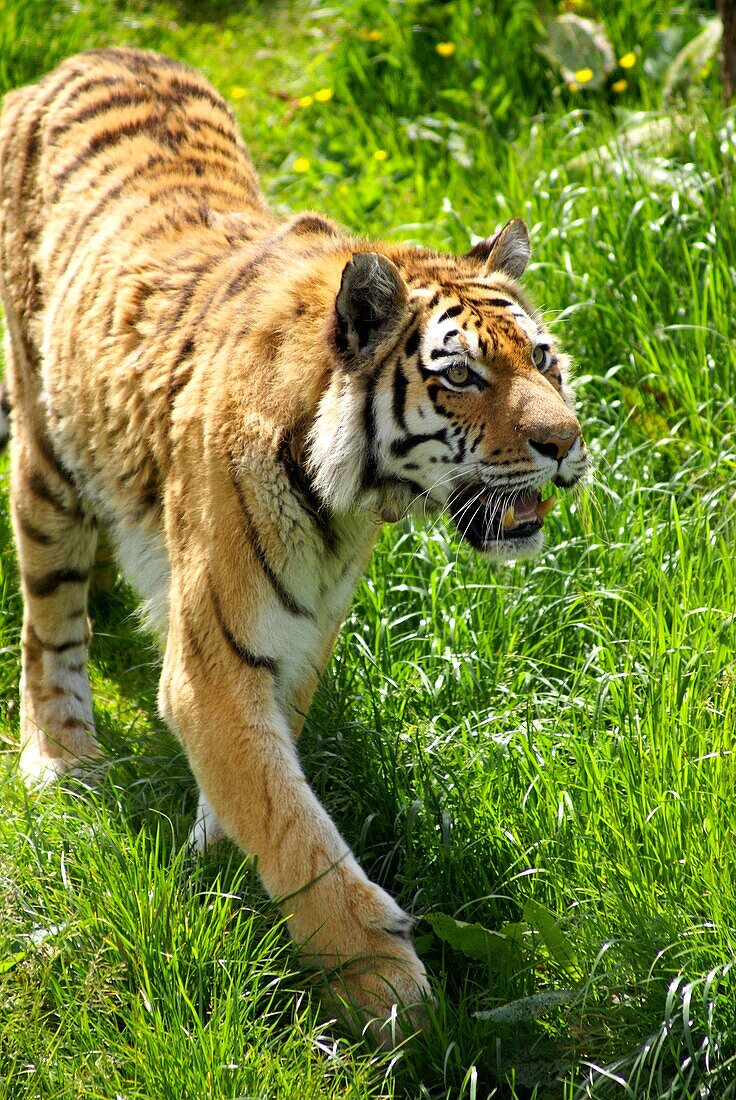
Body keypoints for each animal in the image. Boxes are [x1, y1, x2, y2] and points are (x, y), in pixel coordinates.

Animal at [0, 45, 585, 1038]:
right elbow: (291, 820)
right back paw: (62, 758)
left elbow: (266, 769)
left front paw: (217, 852)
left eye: (542, 358)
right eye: (463, 376)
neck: (357, 498)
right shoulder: (214, 662)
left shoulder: (301, 635)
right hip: (46, 452)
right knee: (51, 623)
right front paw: (381, 986)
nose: (568, 443)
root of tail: (85, 55)